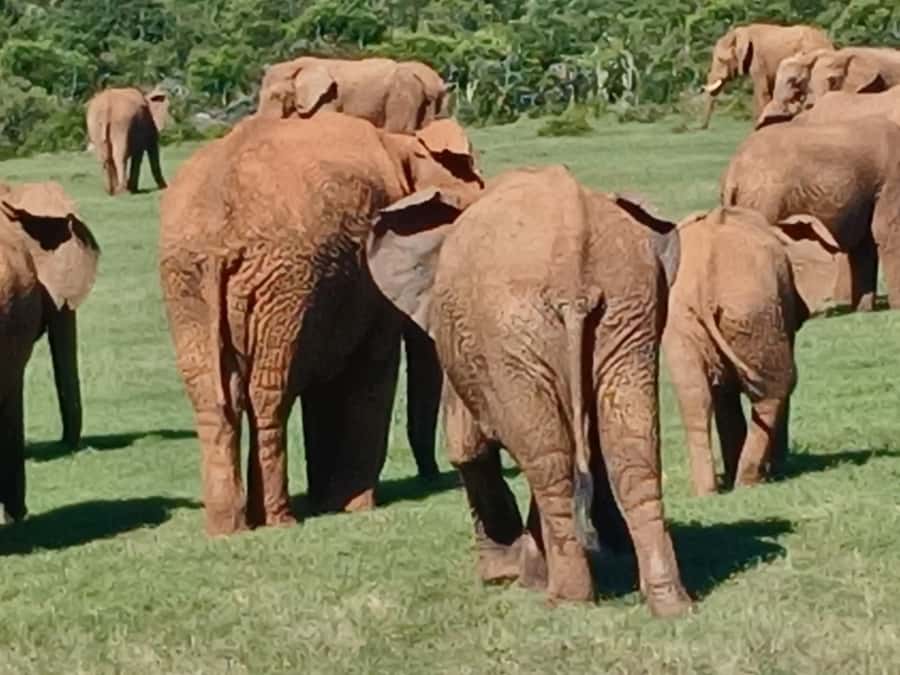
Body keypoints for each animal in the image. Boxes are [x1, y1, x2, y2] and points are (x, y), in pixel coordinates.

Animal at [158, 112, 483, 536]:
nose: (431, 475)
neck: (400, 144)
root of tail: (217, 237)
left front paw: (329, 503)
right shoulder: (363, 280)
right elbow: (373, 372)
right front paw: (353, 506)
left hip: (191, 283)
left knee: (212, 398)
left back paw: (227, 529)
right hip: (283, 281)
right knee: (269, 394)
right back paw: (278, 521)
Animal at [365, 165, 691, 617]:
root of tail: (573, 254)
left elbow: (467, 446)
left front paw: (501, 576)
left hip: (511, 330)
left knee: (550, 461)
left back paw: (565, 599)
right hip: (626, 311)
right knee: (629, 451)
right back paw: (669, 604)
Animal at [663, 207, 842, 497]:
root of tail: (705, 276)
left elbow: (721, 393)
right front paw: (776, 470)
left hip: (683, 319)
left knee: (695, 396)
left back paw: (708, 492)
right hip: (754, 309)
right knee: (775, 388)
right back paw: (750, 482)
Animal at [721, 116, 900, 311]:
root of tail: (733, 171)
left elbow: (865, 242)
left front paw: (863, 310)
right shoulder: (892, 181)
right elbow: (888, 233)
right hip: (764, 198)